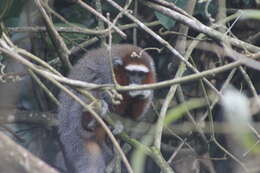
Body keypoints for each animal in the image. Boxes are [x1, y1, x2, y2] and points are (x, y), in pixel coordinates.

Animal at [58, 44, 155, 173]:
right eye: (131, 73)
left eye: (141, 75)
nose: (136, 81)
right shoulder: (108, 74)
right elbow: (105, 92)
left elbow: (133, 117)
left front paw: (141, 93)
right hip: (73, 125)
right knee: (91, 88)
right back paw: (91, 120)